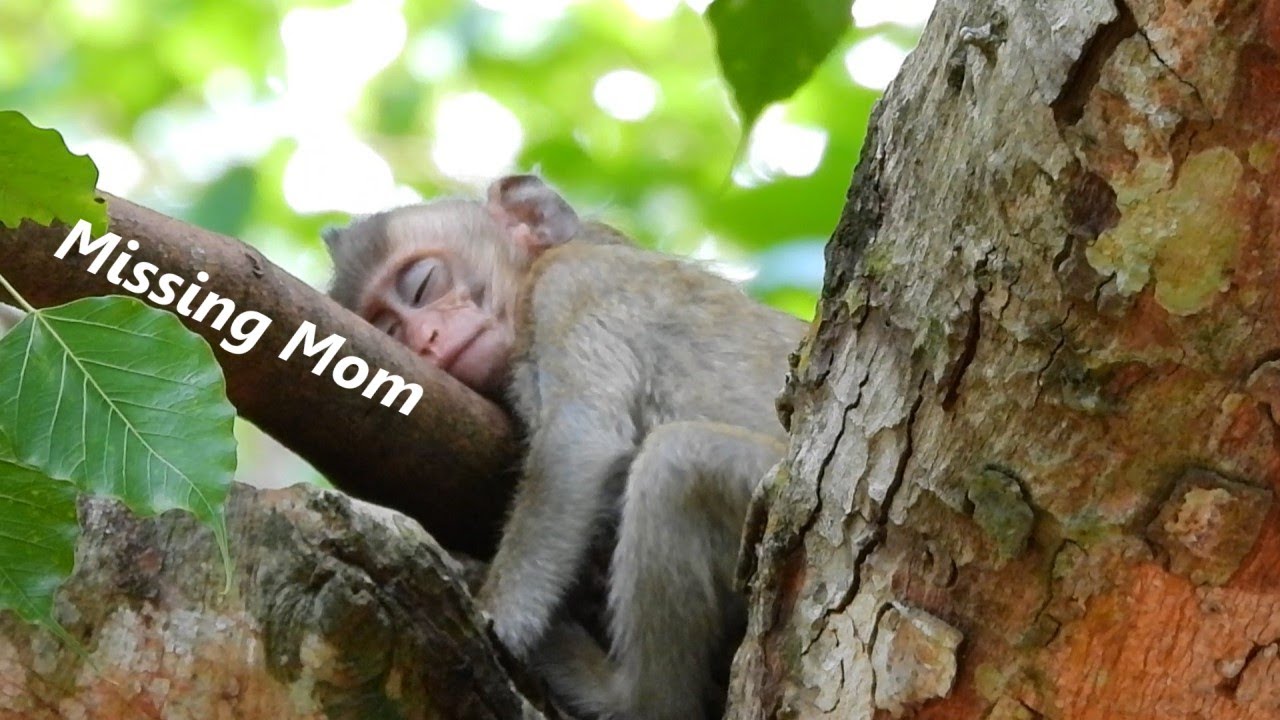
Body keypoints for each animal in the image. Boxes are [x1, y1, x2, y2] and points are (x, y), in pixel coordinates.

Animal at [323, 175, 805, 720]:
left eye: (422, 284)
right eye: (390, 331)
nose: (426, 340)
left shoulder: (572, 287)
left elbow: (578, 439)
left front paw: (495, 624)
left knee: (674, 463)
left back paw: (626, 698)